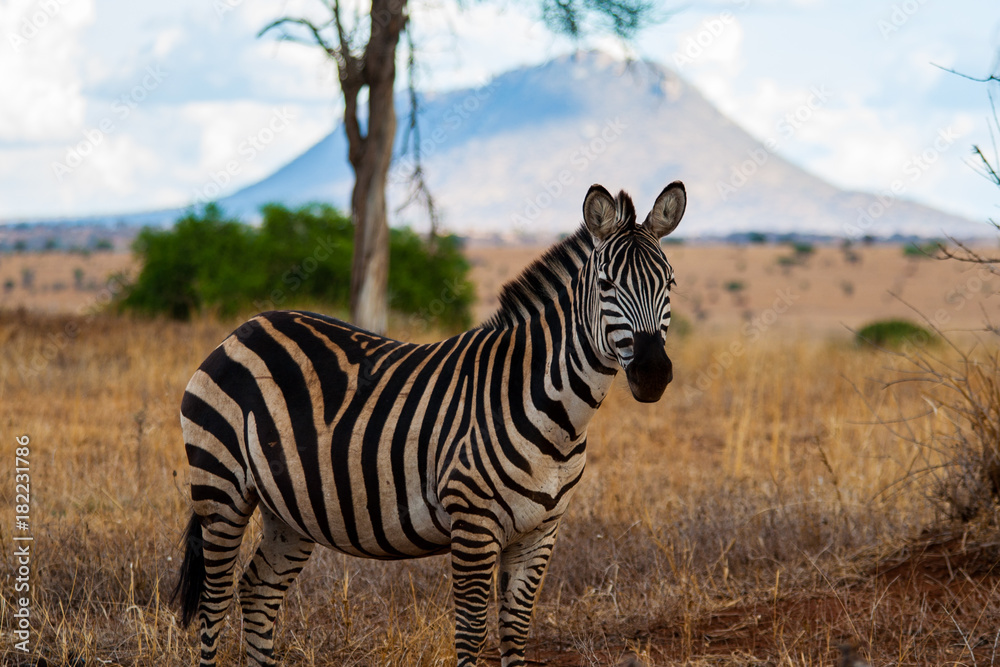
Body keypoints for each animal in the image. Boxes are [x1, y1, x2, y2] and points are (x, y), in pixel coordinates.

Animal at [173, 181, 687, 666]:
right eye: (605, 284)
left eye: (670, 283)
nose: (652, 373)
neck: (557, 414)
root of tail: (245, 328)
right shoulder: (473, 521)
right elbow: (472, 630)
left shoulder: (541, 530)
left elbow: (516, 630)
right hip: (221, 487)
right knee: (215, 601)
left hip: (288, 509)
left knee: (258, 590)